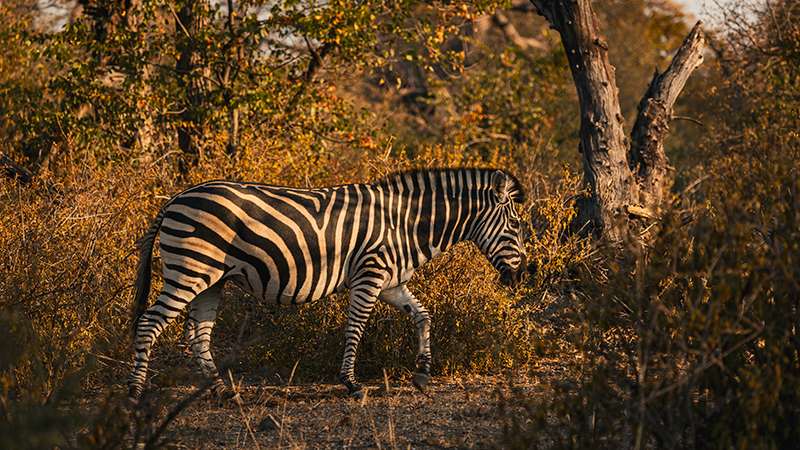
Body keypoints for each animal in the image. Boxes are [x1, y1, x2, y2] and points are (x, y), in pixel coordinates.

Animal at [128, 167, 528, 400]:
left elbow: (423, 316)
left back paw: (224, 390)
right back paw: (135, 391)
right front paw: (351, 383)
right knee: (149, 324)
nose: (522, 275)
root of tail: (175, 198)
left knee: (198, 335)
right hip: (189, 271)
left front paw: (422, 374)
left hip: (210, 279)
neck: (405, 224)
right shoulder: (369, 275)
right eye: (516, 225)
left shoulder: (391, 282)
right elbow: (356, 328)